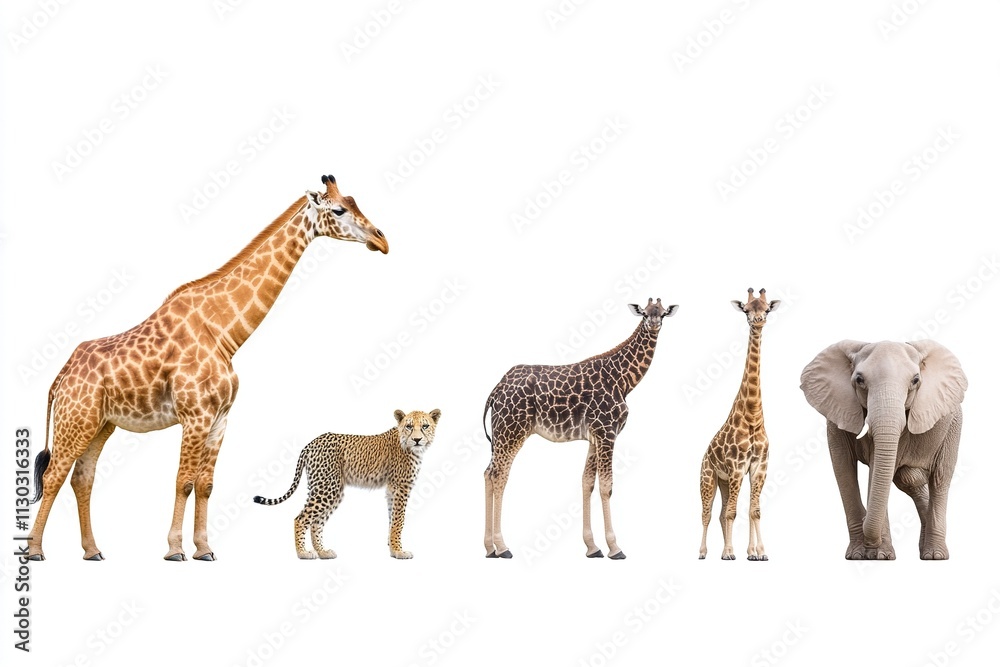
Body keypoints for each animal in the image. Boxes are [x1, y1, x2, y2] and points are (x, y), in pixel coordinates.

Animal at [27, 175, 388, 562]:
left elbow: (206, 484)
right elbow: (183, 481)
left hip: (99, 425)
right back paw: (34, 550)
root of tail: (60, 377)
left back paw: (93, 550)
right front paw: (175, 550)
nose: (382, 240)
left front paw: (204, 548)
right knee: (53, 476)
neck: (225, 333)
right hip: (75, 421)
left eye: (353, 202)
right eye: (338, 210)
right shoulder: (195, 415)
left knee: (82, 478)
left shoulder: (220, 419)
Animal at [482, 298, 678, 559]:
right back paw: (502, 547)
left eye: (663, 314)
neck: (624, 381)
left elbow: (587, 482)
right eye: (645, 314)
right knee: (499, 475)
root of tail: (495, 390)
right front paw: (615, 548)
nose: (654, 324)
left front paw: (593, 547)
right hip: (512, 431)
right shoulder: (607, 432)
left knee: (488, 473)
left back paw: (489, 548)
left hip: (501, 434)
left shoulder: (595, 436)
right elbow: (606, 486)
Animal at [699, 288, 780, 561]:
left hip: (725, 481)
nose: (758, 321)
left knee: (722, 512)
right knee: (707, 513)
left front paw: (758, 552)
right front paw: (728, 553)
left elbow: (753, 510)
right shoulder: (736, 467)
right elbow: (732, 513)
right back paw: (704, 552)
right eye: (746, 310)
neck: (753, 415)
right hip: (708, 477)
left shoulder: (758, 467)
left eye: (766, 309)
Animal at [800, 340, 967, 560]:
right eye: (859, 379)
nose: (865, 523)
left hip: (953, 427)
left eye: (915, 380)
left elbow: (876, 470)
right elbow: (844, 468)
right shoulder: (836, 409)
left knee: (940, 478)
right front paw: (859, 555)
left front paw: (879, 556)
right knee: (908, 479)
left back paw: (935, 556)